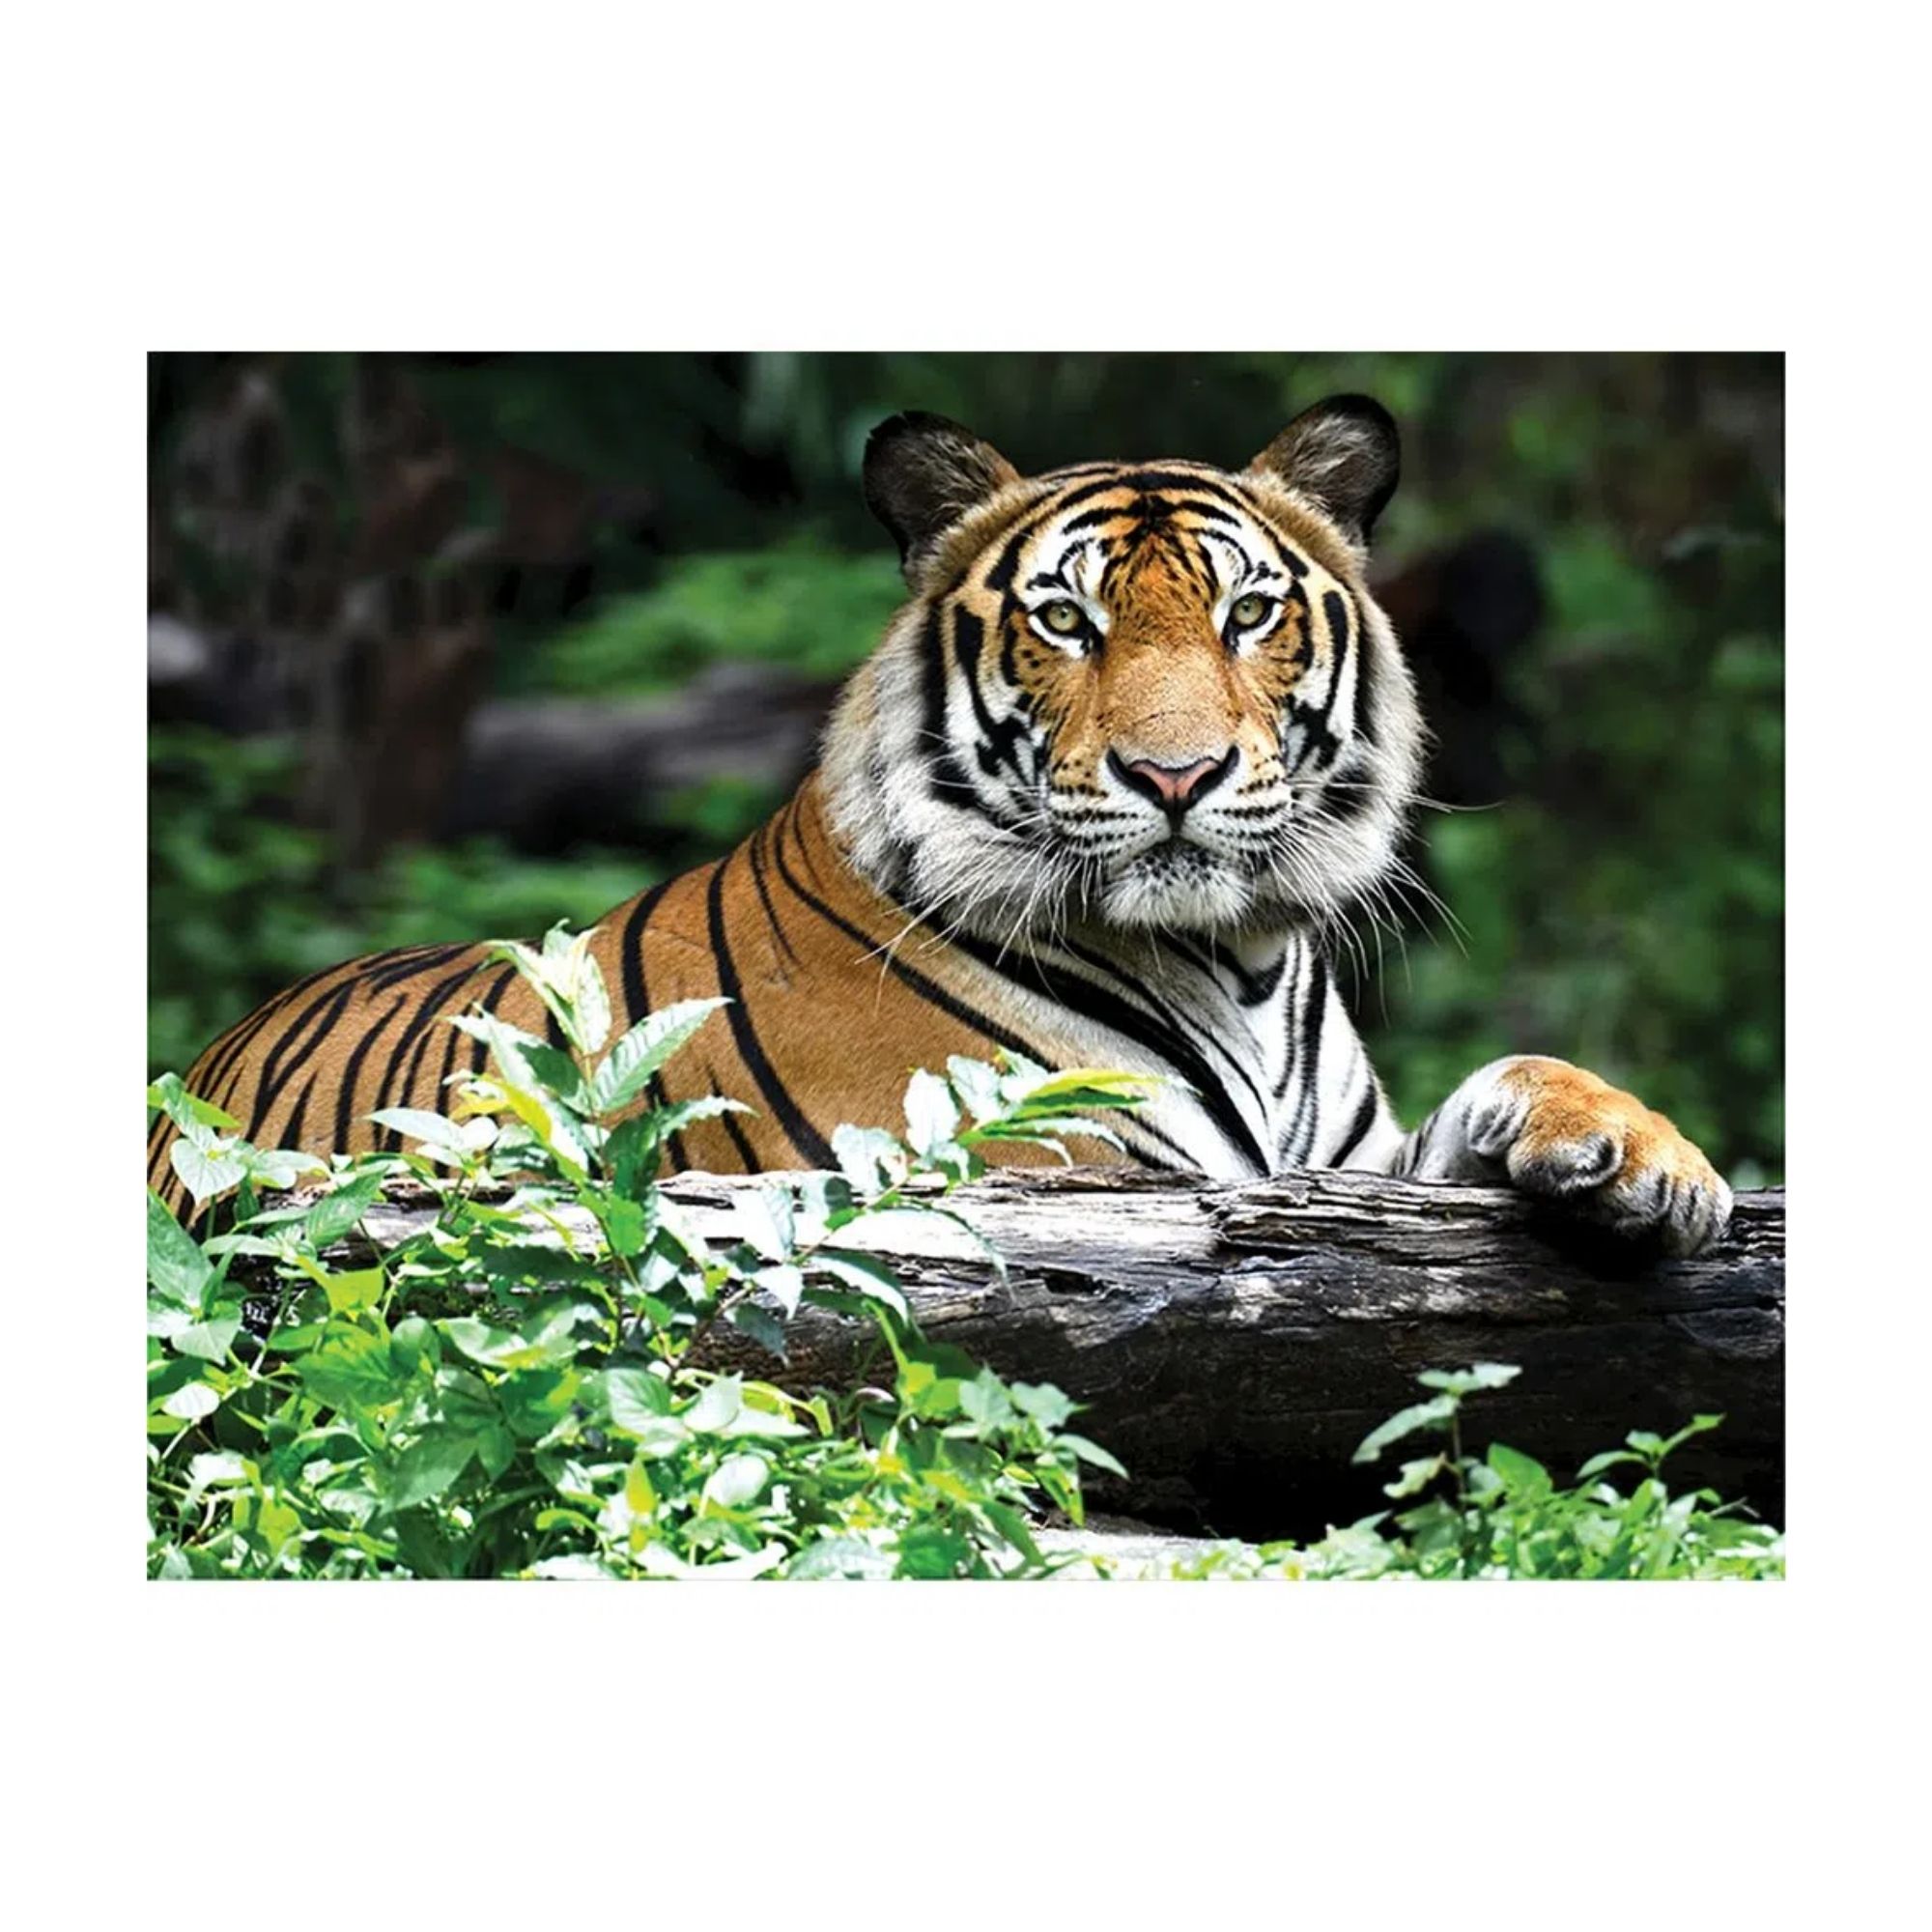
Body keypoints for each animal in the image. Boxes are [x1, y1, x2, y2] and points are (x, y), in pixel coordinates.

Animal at [150, 395, 1732, 1254]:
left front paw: (1647, 1160)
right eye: (1066, 621)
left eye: (1246, 613)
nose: (1175, 775)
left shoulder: (1343, 1174)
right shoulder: (1050, 1179)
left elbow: (1513, 1077)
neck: (1236, 962)